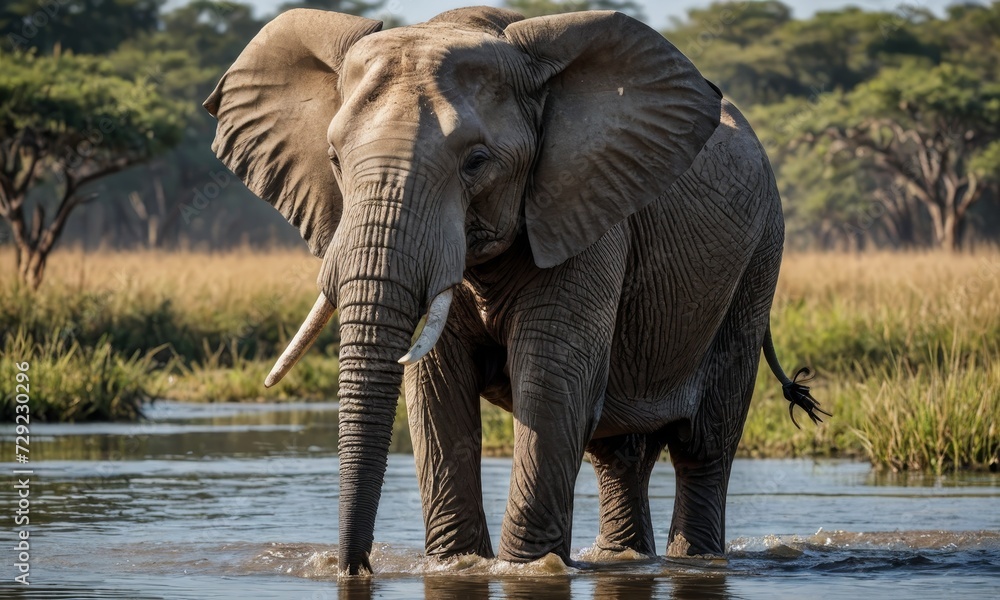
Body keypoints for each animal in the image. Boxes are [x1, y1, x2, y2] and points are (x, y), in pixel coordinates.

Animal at [204, 6, 827, 576]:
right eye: (334, 159)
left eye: (476, 162)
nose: (354, 568)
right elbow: (437, 391)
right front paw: (456, 567)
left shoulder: (587, 210)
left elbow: (551, 385)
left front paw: (526, 570)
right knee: (618, 452)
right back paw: (622, 559)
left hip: (758, 258)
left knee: (704, 444)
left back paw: (695, 560)